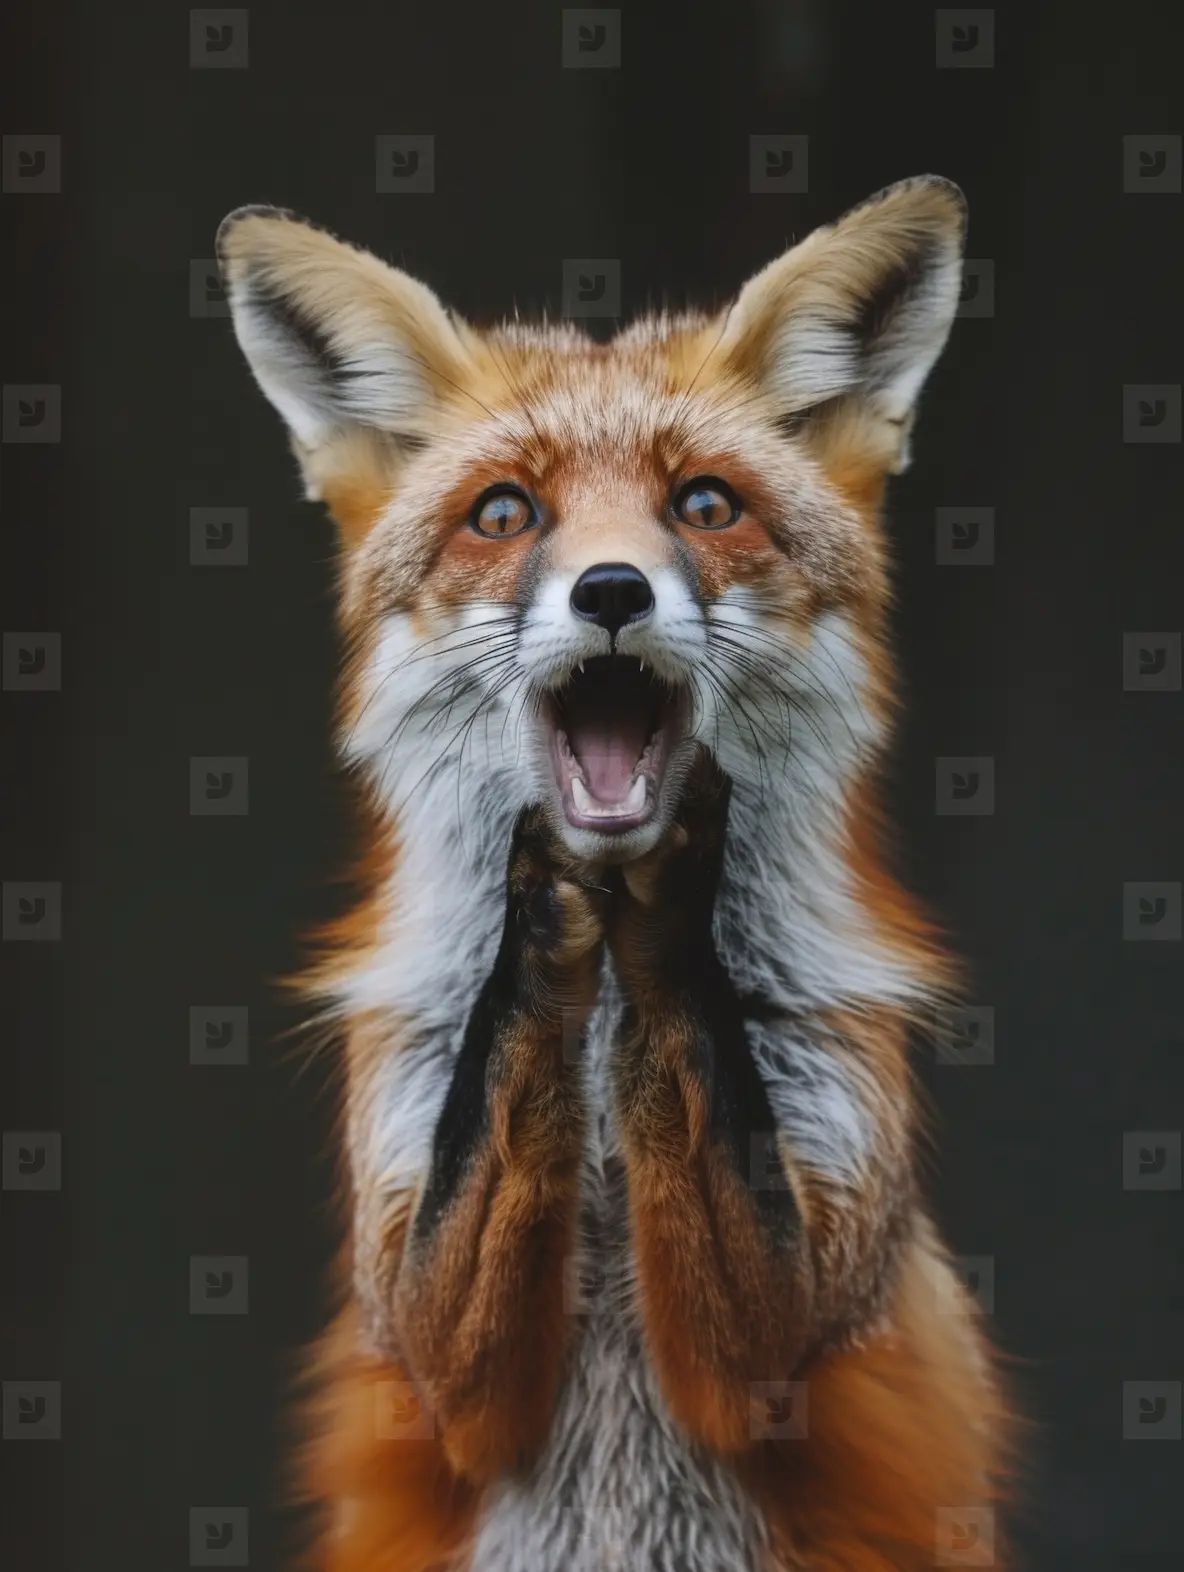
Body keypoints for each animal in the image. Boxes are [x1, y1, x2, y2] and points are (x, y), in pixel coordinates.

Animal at [217, 175, 1012, 1572]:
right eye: (502, 514)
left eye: (703, 504)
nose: (608, 591)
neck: (597, 1067)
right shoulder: (420, 1318)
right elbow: (474, 1221)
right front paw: (542, 909)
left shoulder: (811, 1282)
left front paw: (667, 899)